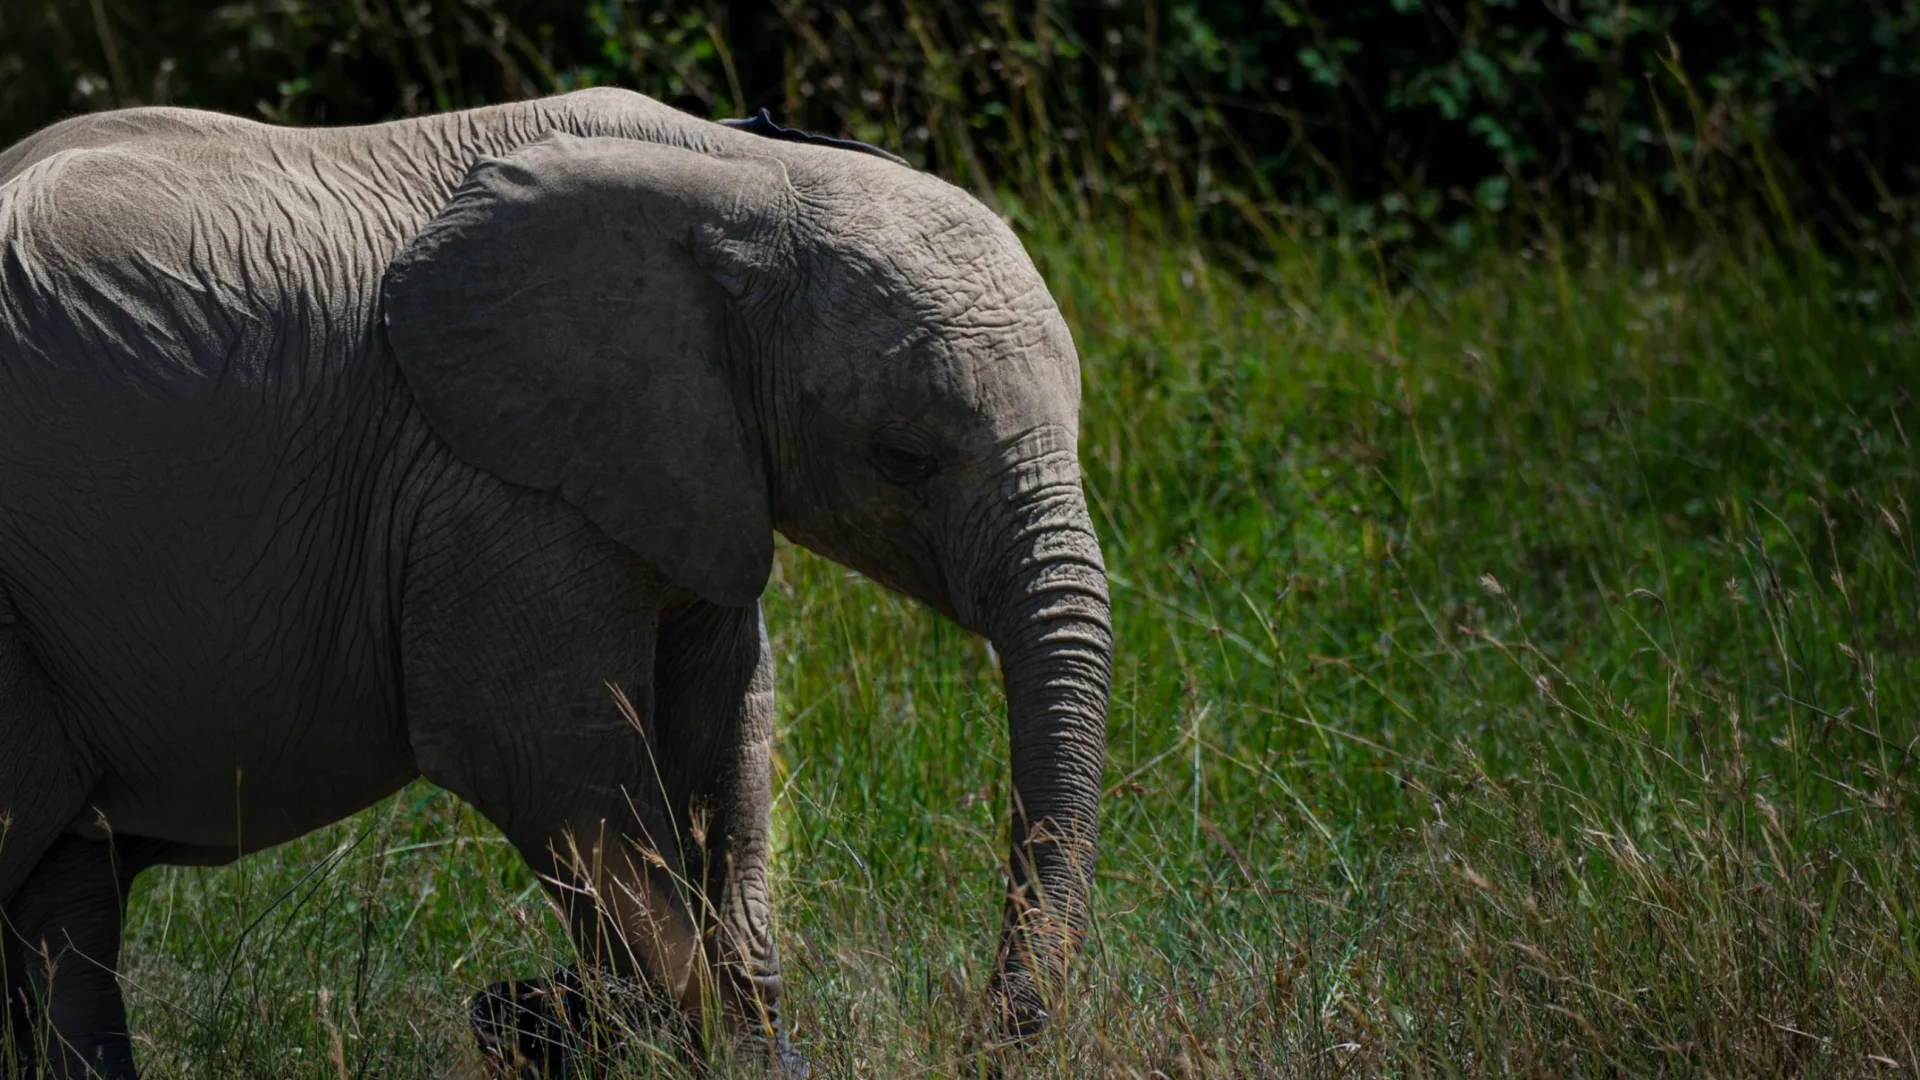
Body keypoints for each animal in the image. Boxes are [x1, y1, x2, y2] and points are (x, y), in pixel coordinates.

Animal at [0, 86, 1111, 1077]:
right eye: (903, 456)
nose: (986, 1036)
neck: (737, 175)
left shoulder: (683, 463)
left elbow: (725, 744)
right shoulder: (485, 485)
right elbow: (553, 763)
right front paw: (643, 1036)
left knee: (64, 904)